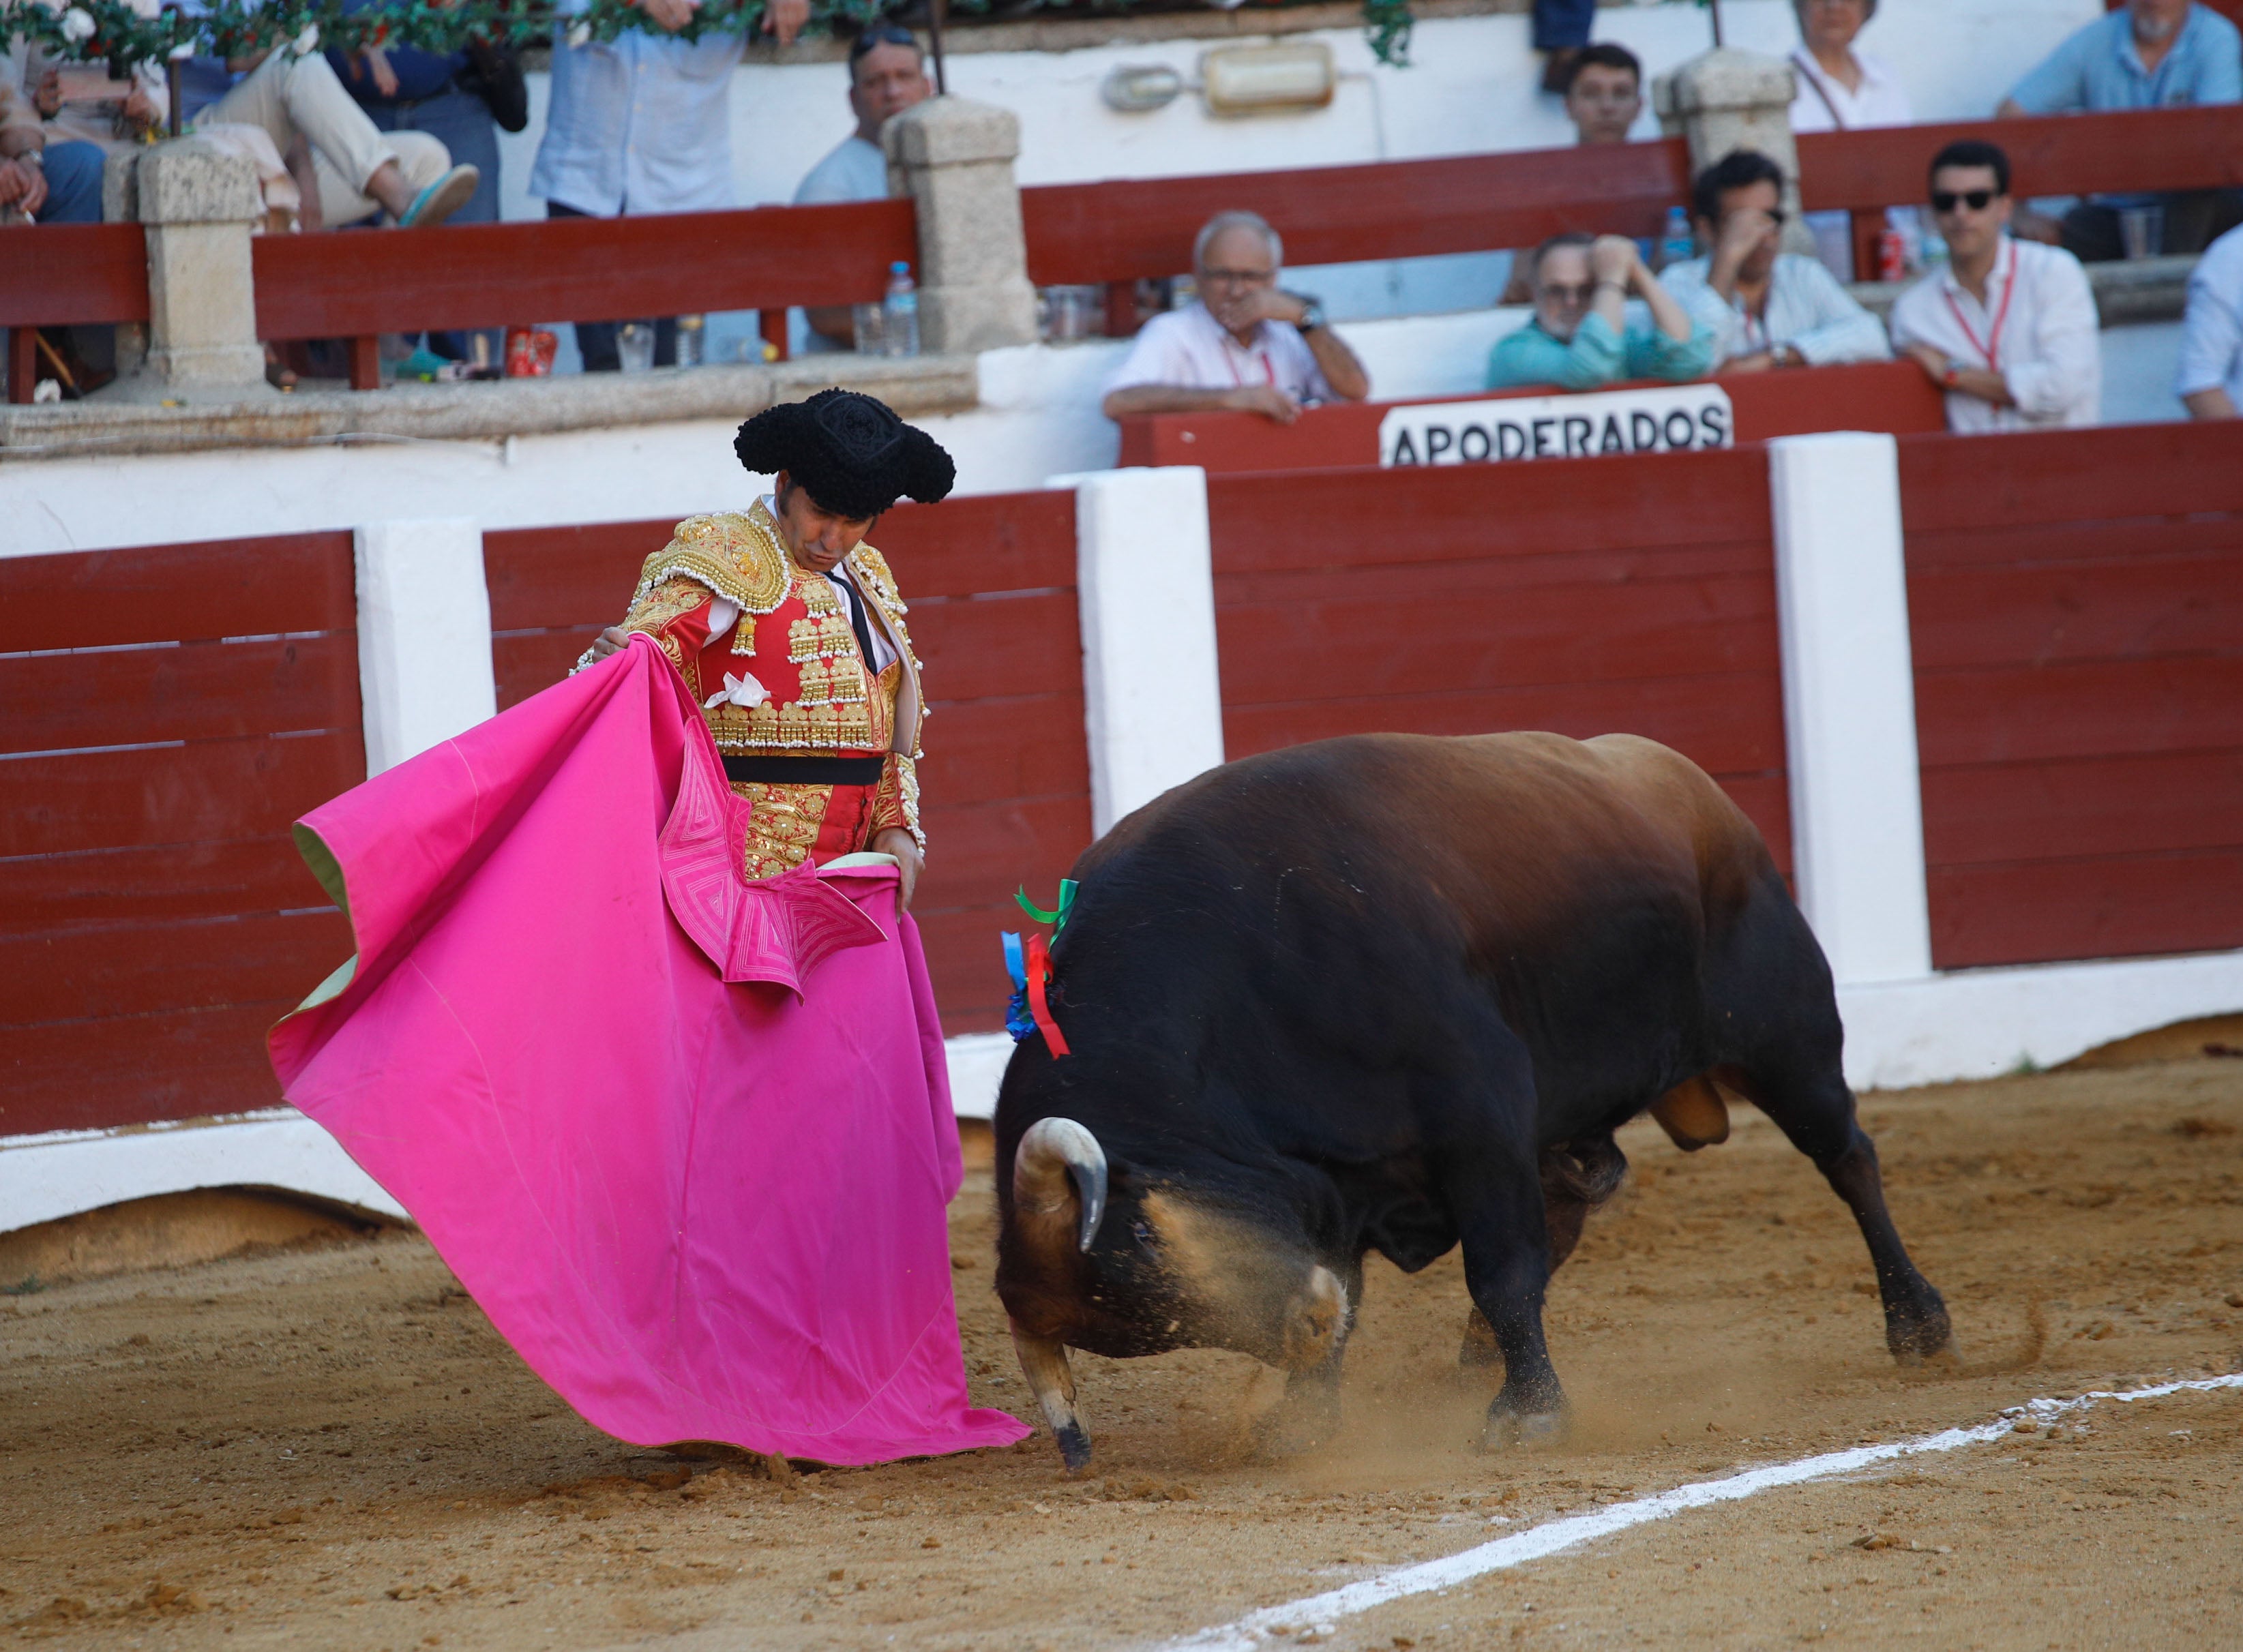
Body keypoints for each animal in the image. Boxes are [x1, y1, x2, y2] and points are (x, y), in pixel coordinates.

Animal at [991, 735, 1956, 1470]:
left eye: (1144, 1235)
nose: (1303, 1322)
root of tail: (1690, 782)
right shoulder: (1335, 1185)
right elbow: (1363, 1288)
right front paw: (1302, 1418)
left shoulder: (1479, 1116)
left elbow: (1500, 1268)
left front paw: (1527, 1411)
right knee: (1577, 1191)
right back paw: (1474, 1356)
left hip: (1787, 1038)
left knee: (1846, 1157)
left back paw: (1918, 1322)